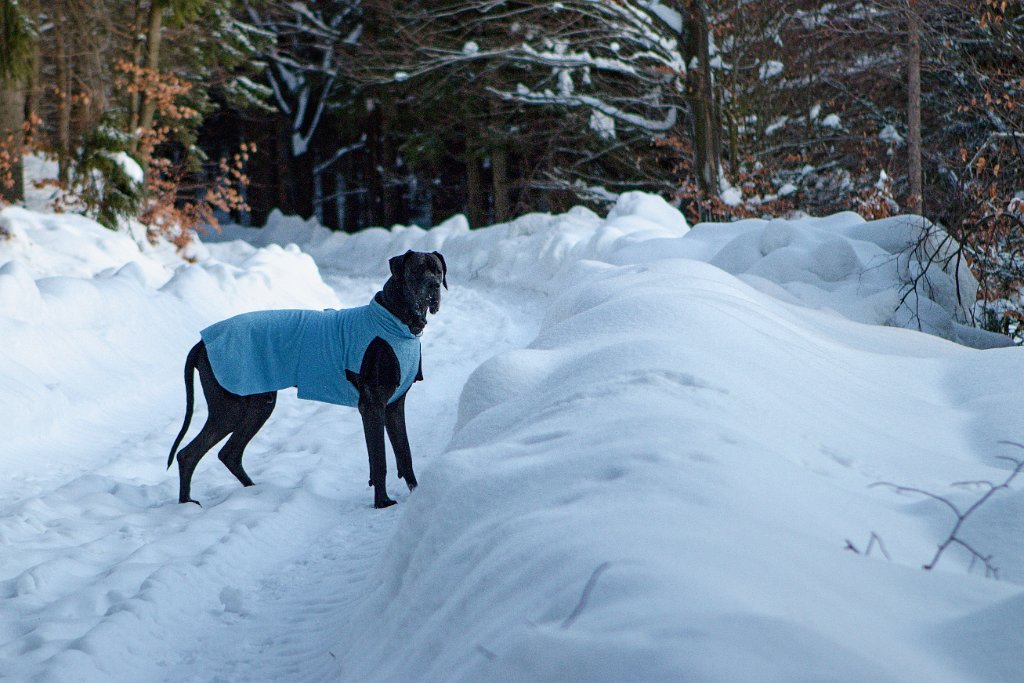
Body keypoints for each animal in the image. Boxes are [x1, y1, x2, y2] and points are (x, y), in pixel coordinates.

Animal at [165, 249, 446, 507]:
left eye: (438, 271)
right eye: (416, 270)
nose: (434, 285)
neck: (396, 319)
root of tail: (202, 342)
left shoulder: (394, 406)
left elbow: (404, 453)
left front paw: (417, 494)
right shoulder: (372, 406)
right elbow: (379, 460)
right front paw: (382, 503)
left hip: (259, 404)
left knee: (229, 453)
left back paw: (252, 491)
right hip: (230, 407)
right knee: (188, 454)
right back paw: (186, 504)